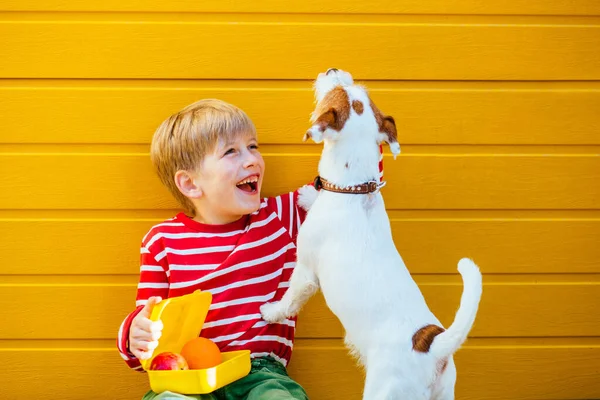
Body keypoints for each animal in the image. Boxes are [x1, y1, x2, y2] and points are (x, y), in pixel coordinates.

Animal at [262, 69, 482, 400]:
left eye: (338, 89)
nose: (333, 70)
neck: (353, 190)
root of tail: (432, 347)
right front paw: (308, 195)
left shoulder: (306, 271)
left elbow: (289, 299)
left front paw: (271, 312)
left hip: (385, 390)